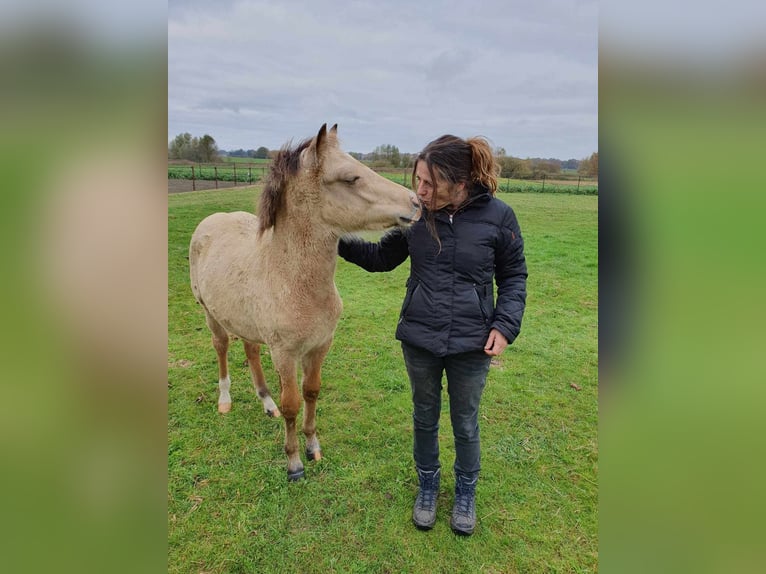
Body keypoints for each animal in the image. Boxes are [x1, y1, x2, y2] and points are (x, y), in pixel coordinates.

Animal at [190, 125, 424, 482]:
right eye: (350, 178)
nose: (415, 203)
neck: (293, 281)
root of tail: (211, 220)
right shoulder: (285, 354)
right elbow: (292, 403)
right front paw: (294, 463)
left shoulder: (320, 345)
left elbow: (311, 391)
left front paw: (313, 446)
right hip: (210, 314)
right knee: (221, 348)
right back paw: (225, 400)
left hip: (245, 321)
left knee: (250, 350)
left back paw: (266, 403)